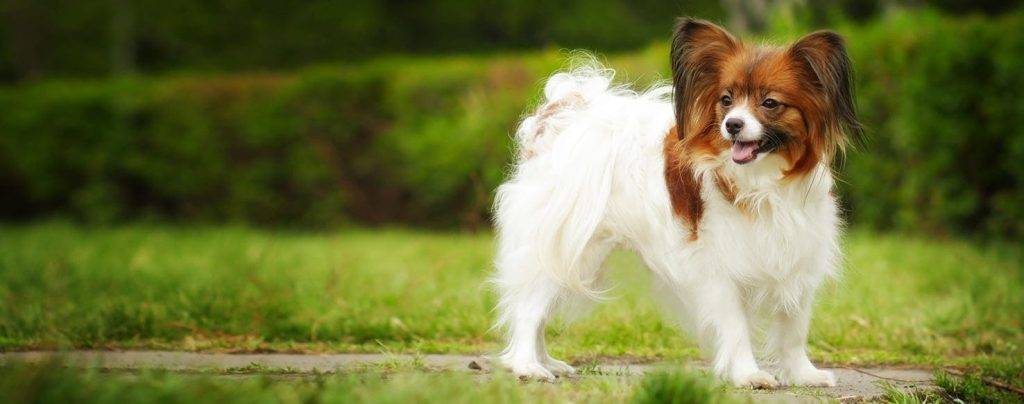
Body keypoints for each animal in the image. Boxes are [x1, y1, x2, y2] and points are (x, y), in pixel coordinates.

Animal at [491, 18, 860, 388]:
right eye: (726, 101)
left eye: (770, 103)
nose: (732, 125)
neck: (762, 184)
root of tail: (560, 115)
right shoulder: (720, 267)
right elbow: (736, 326)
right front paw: (748, 373)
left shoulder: (797, 254)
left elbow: (794, 328)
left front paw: (803, 374)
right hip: (566, 246)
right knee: (530, 308)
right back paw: (527, 365)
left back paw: (547, 362)